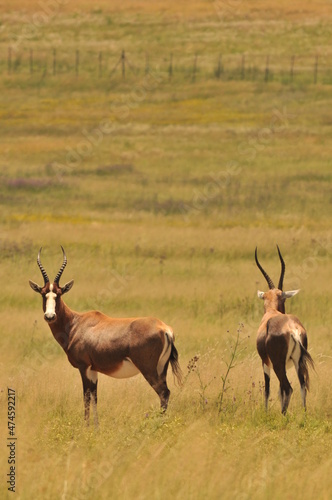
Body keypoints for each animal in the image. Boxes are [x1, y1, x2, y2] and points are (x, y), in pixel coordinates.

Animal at [29, 248, 183, 424]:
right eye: (43, 294)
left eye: (59, 294)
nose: (50, 316)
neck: (77, 323)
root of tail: (164, 329)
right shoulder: (93, 370)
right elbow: (95, 397)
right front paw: (96, 426)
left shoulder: (84, 367)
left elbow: (86, 397)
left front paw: (86, 426)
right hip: (161, 369)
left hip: (149, 370)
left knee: (164, 393)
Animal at [255, 246, 312, 414]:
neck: (271, 313)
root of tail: (292, 329)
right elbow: (280, 391)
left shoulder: (265, 363)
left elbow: (268, 389)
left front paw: (266, 413)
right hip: (299, 362)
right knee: (302, 386)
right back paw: (304, 415)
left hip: (278, 365)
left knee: (289, 388)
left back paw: (283, 415)